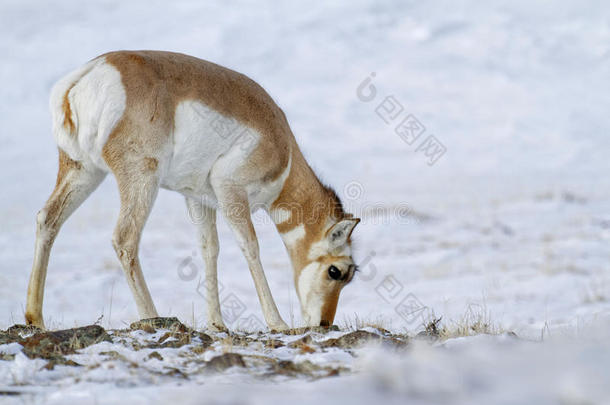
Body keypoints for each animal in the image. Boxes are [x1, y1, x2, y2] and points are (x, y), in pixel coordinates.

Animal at [28, 50, 358, 330]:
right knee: (125, 238)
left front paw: (217, 324)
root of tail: (89, 74)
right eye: (336, 271)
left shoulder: (199, 201)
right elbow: (250, 247)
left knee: (48, 219)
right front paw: (277, 322)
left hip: (82, 171)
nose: (324, 324)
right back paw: (152, 316)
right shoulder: (230, 191)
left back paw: (35, 318)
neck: (283, 150)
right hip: (141, 180)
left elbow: (209, 250)